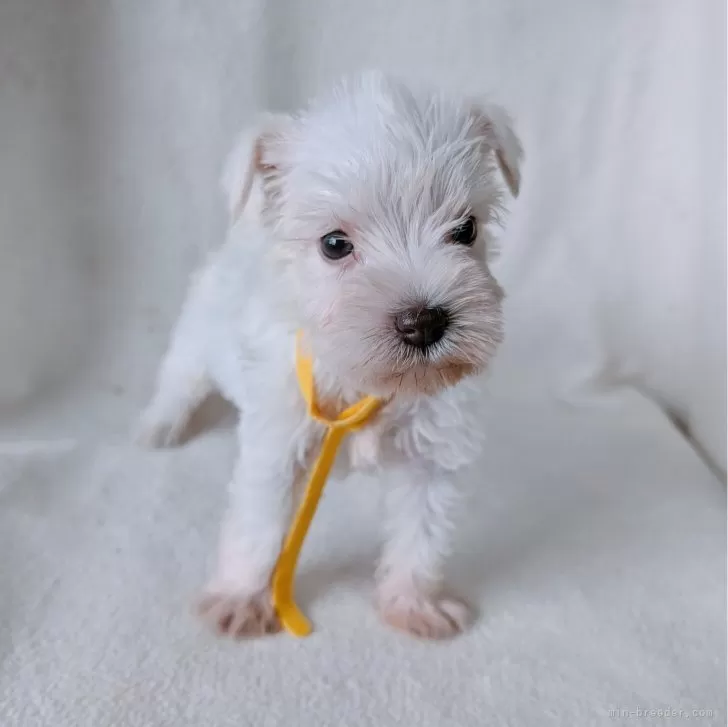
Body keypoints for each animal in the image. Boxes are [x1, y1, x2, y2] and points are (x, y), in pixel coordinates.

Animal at [138, 74, 524, 640]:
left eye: (465, 229)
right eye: (335, 244)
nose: (424, 323)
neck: (368, 381)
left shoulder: (432, 454)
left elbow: (421, 534)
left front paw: (415, 604)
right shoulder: (276, 445)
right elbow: (258, 526)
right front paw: (241, 599)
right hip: (195, 337)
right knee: (177, 380)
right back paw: (158, 426)